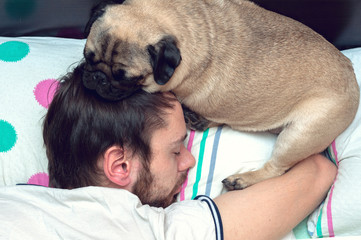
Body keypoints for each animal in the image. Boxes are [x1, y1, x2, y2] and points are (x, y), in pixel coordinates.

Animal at [81, 0, 358, 190]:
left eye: (124, 77)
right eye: (87, 56)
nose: (96, 78)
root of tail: (353, 79)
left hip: (300, 135)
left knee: (277, 169)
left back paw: (242, 179)